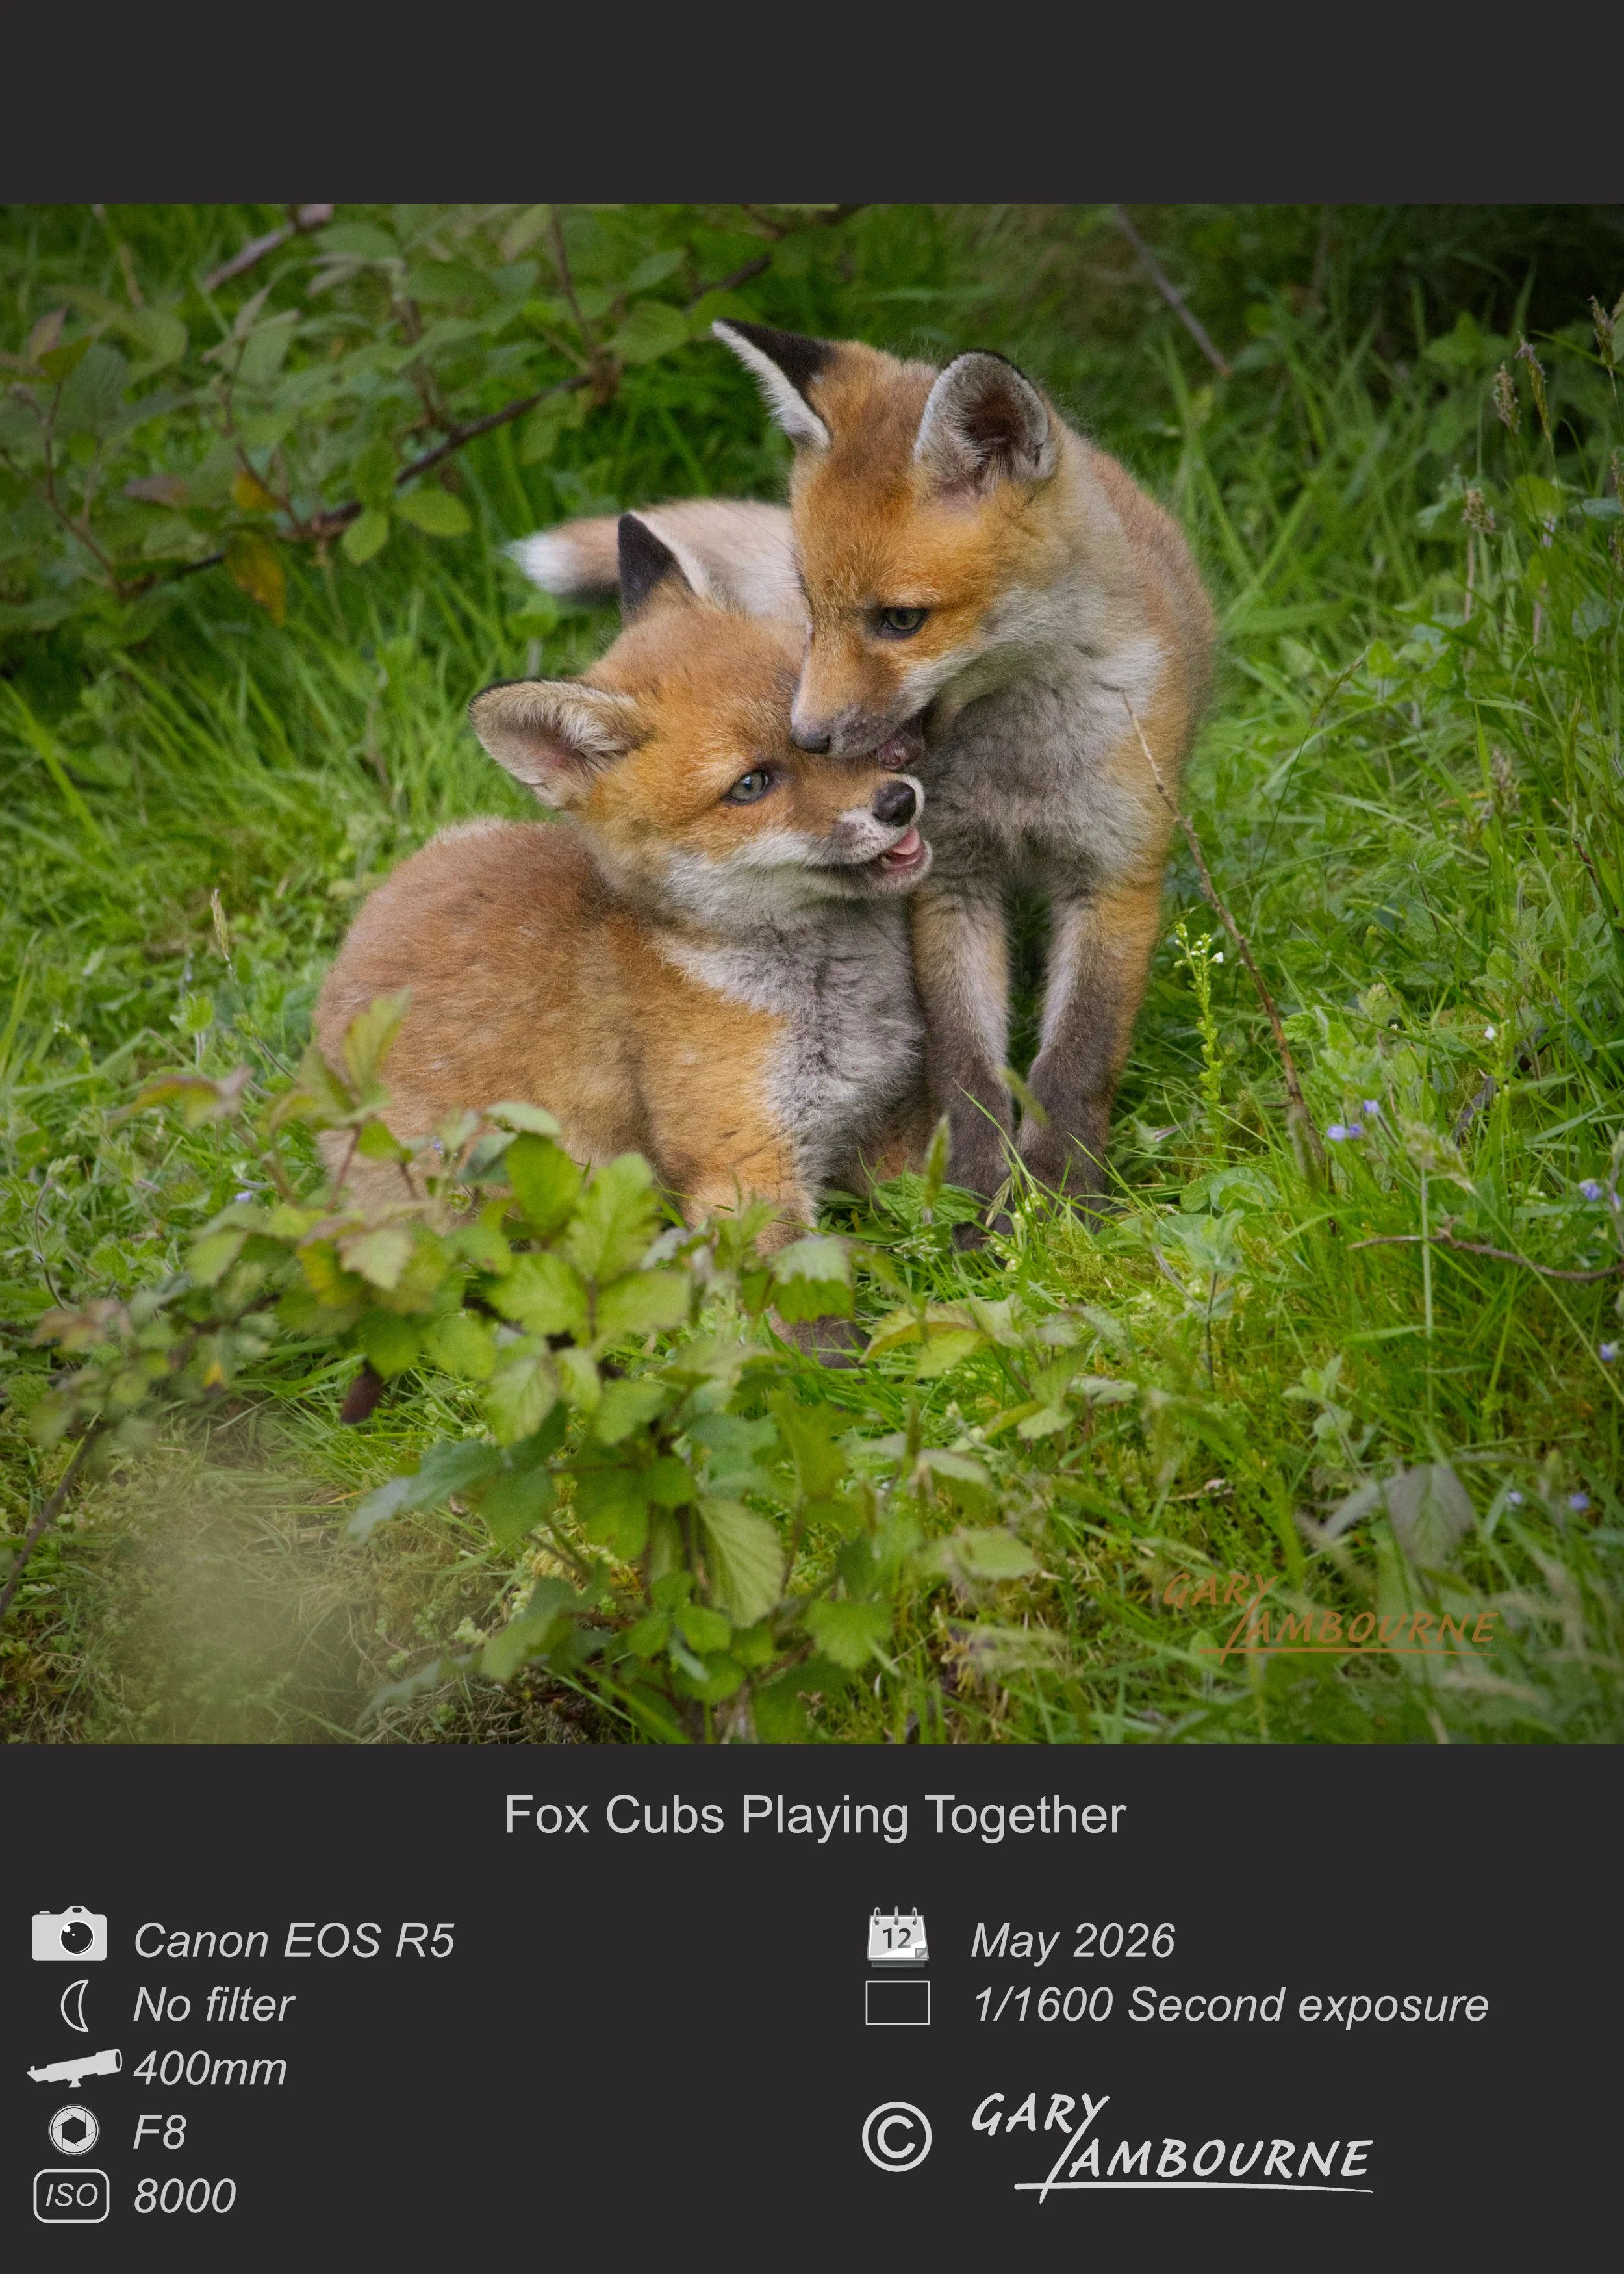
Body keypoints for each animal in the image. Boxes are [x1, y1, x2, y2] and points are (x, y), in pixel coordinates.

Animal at [516, 322, 1215, 1231]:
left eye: (900, 619)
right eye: (813, 609)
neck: (1013, 768)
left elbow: (1076, 1061)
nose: (809, 733)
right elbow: (965, 1066)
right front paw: (981, 1205)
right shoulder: (948, 879)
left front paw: (1064, 1200)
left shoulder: (1116, 871)